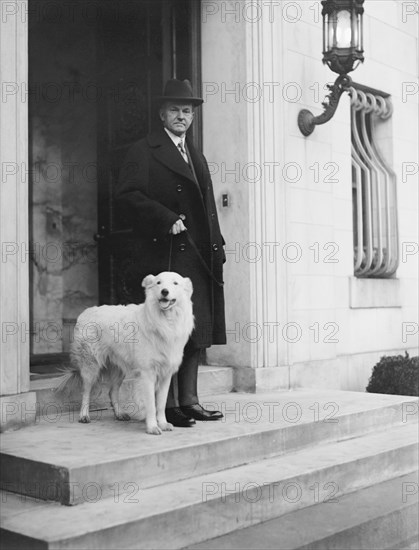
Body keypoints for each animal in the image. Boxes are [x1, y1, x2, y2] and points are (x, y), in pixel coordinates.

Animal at [55, 272, 194, 436]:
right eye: (159, 283)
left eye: (175, 283)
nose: (164, 291)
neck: (165, 320)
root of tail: (86, 311)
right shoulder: (147, 374)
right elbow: (151, 405)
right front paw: (152, 427)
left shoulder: (166, 374)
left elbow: (161, 404)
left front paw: (163, 423)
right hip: (91, 366)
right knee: (86, 391)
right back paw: (84, 415)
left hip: (118, 368)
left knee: (112, 392)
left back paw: (119, 413)